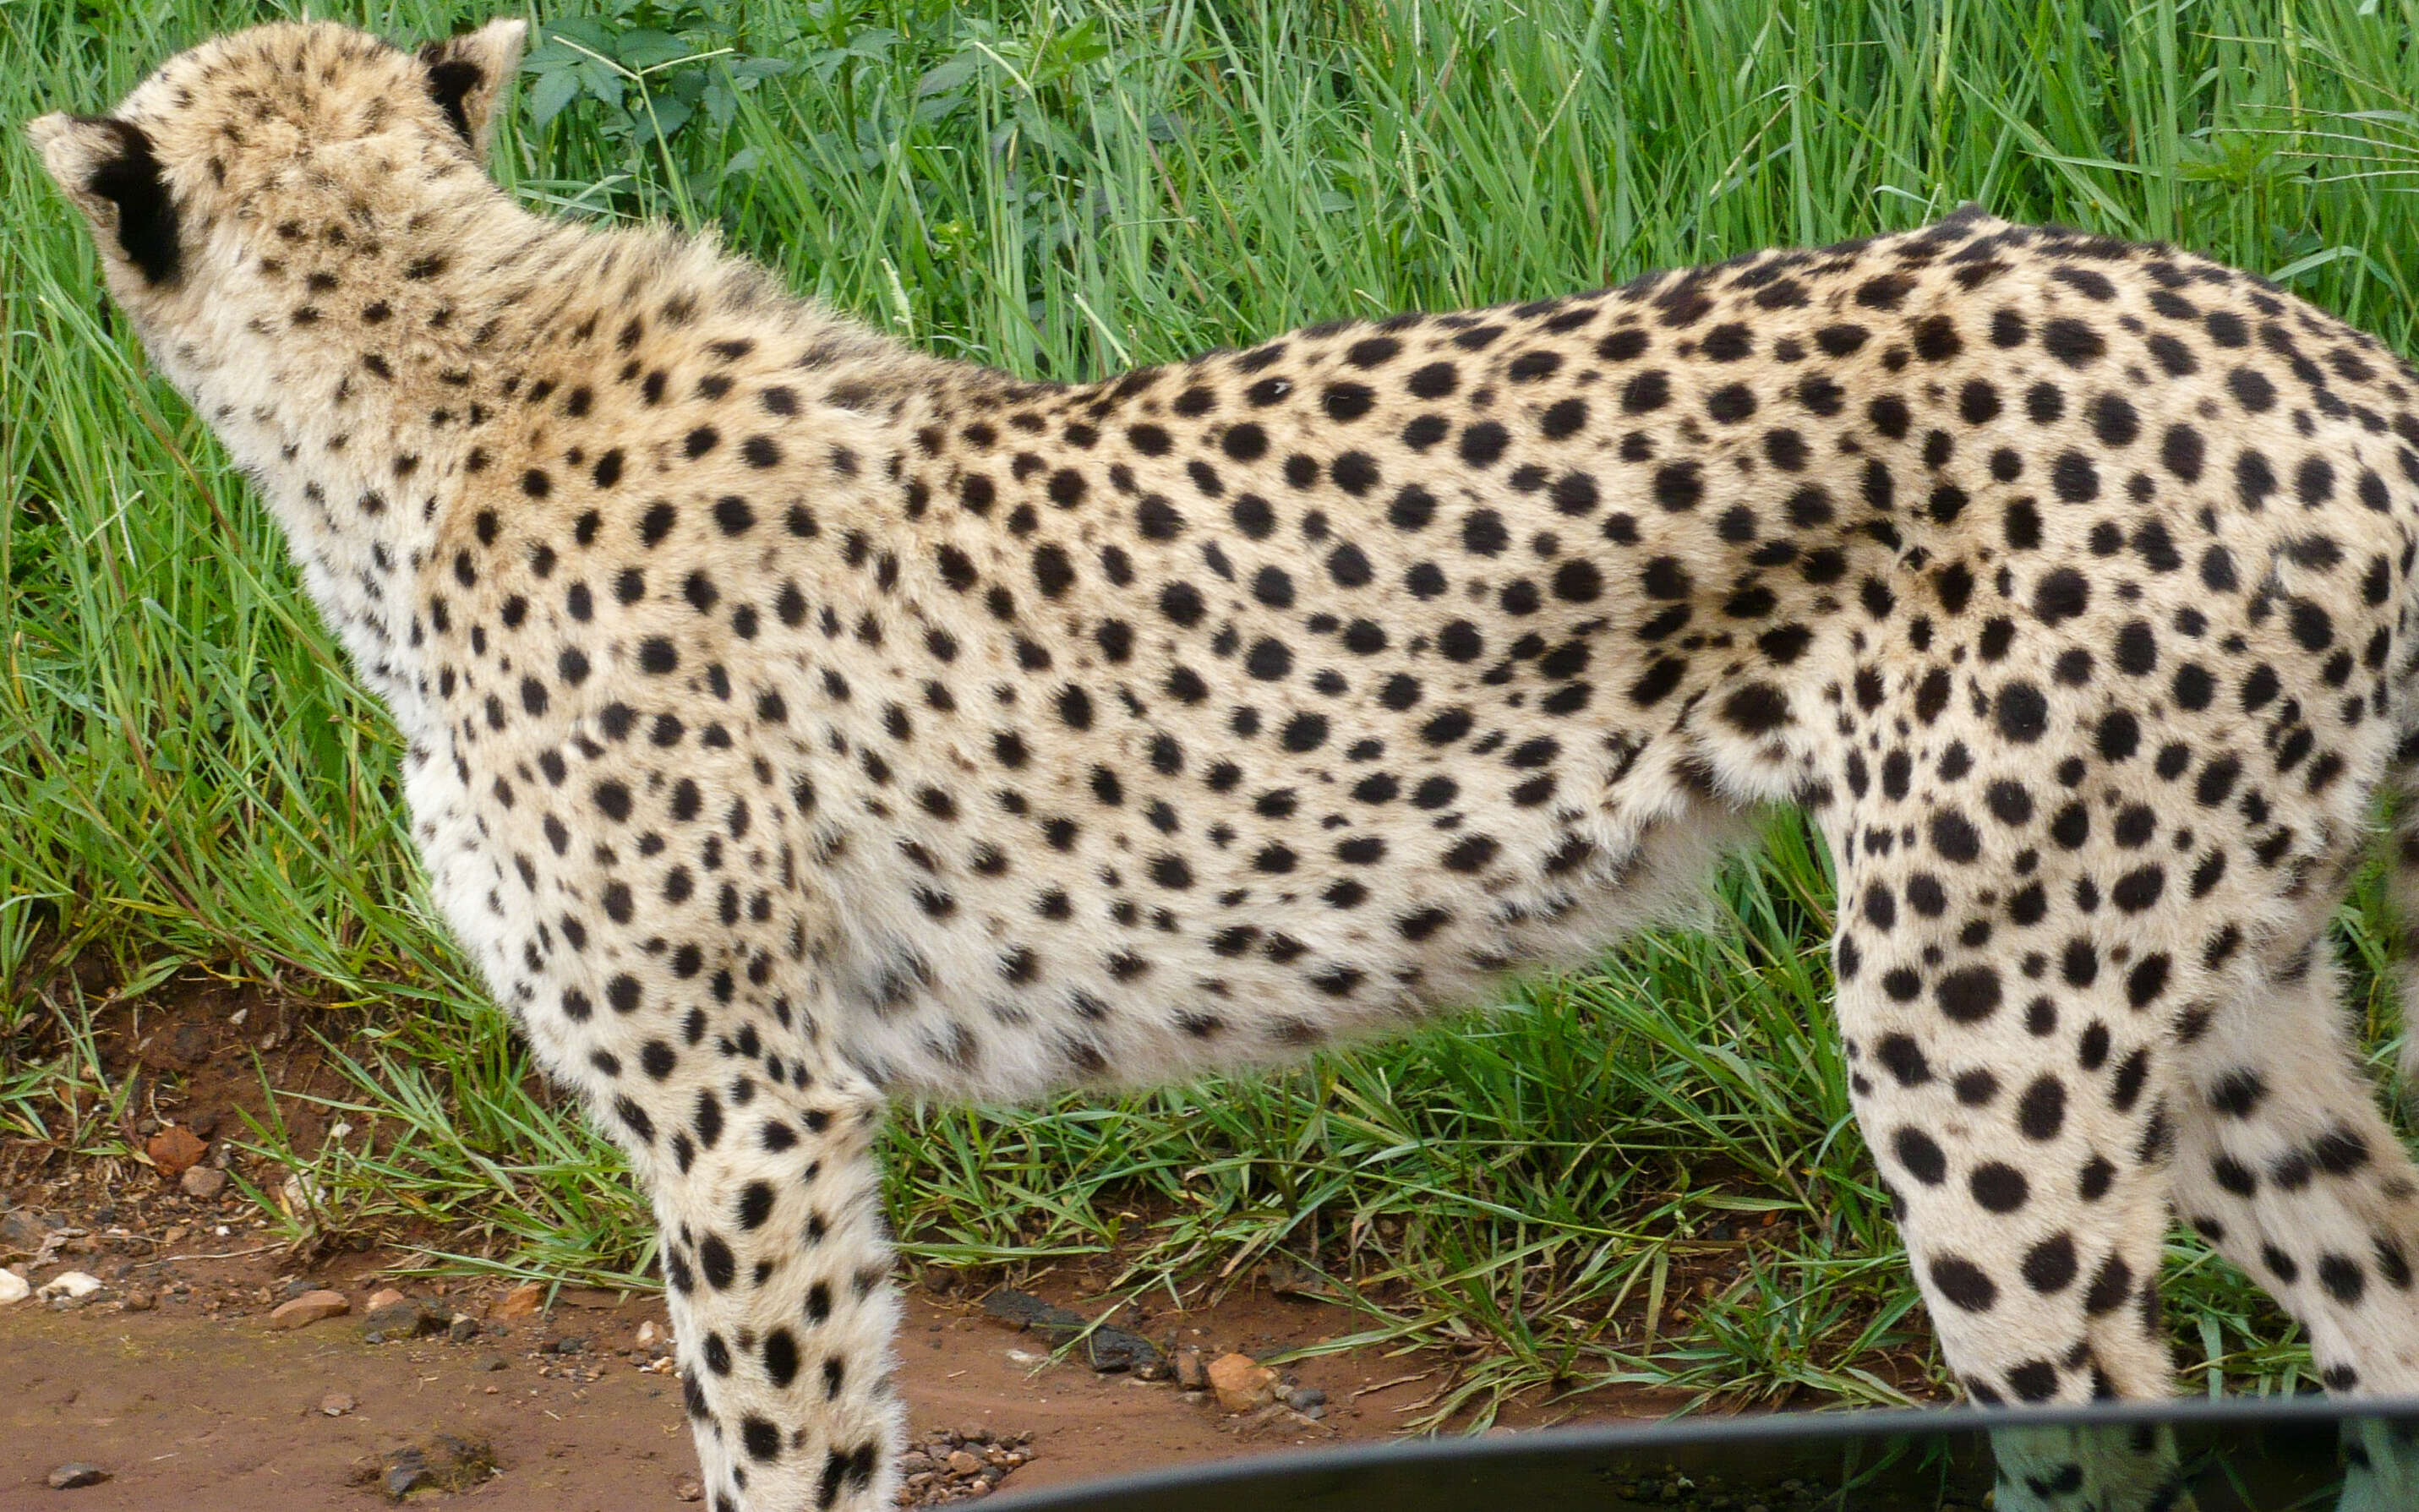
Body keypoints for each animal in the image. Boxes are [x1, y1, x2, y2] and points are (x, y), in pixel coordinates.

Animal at [28, 20, 2419, 1509]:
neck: (426, 357)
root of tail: (2308, 339)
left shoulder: (743, 1114)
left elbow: (779, 1448)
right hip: (2217, 993)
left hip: (1978, 1011)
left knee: (2104, 1409)